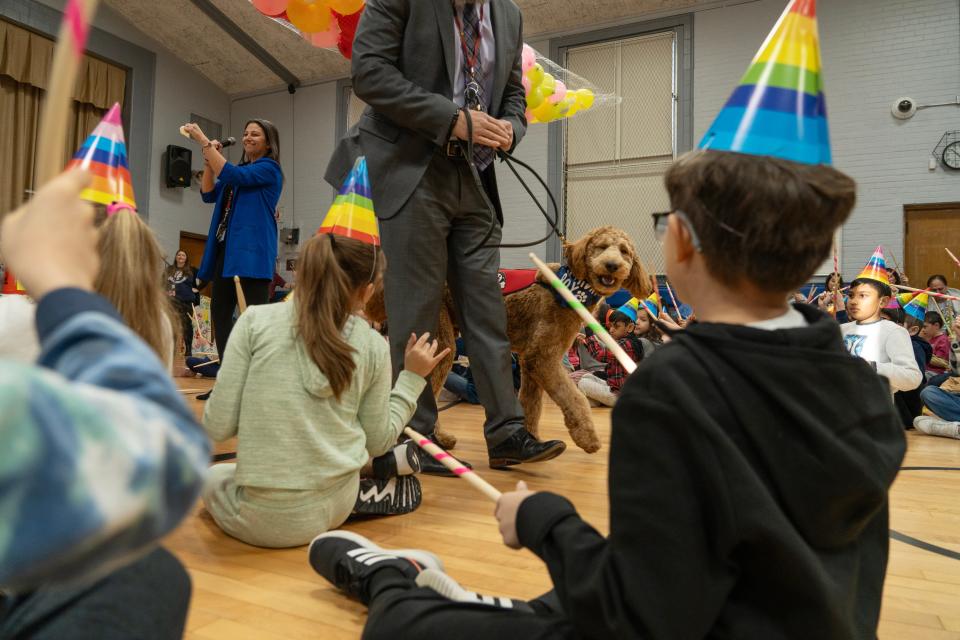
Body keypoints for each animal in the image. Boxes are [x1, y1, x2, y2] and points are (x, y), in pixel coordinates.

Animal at [368, 228, 652, 452]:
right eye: (601, 247)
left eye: (624, 251)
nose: (612, 265)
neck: (570, 287)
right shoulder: (542, 358)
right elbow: (575, 398)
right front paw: (587, 438)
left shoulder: (530, 362)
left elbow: (530, 404)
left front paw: (532, 439)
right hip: (441, 342)